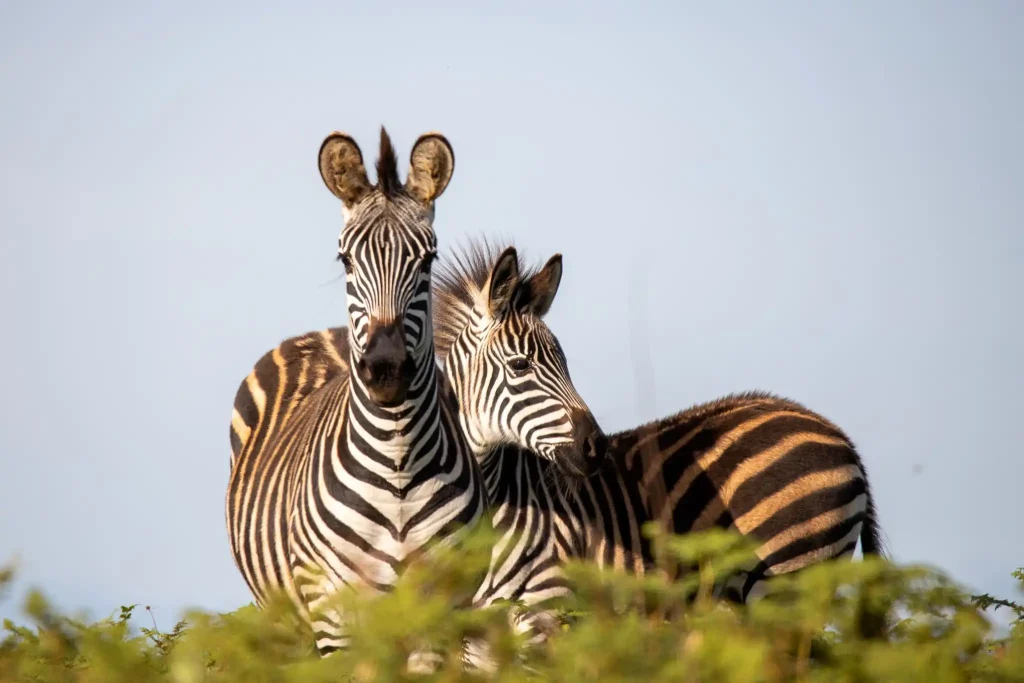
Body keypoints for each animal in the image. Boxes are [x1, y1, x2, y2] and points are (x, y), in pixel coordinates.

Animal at [224, 129, 487, 655]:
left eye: (428, 259)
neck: (399, 464)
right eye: (345, 258)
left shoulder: (441, 609)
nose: (385, 370)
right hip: (284, 618)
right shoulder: (334, 612)